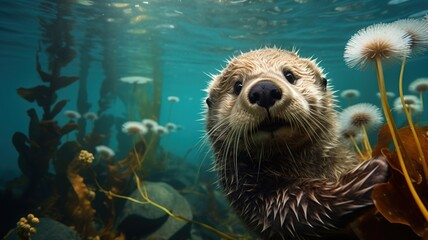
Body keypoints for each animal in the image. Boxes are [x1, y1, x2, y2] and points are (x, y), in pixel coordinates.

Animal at [204, 47, 388, 239]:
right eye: (237, 86)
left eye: (289, 75)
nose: (264, 89)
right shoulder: (249, 192)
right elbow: (294, 209)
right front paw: (368, 174)